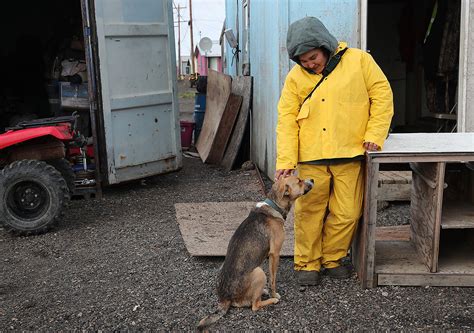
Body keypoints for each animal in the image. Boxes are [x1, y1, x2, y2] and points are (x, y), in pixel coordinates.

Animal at [197, 175, 312, 328]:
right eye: (299, 181)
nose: (312, 180)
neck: (274, 204)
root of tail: (225, 299)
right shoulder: (275, 254)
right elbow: (273, 280)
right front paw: (274, 295)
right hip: (259, 272)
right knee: (254, 305)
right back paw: (271, 300)